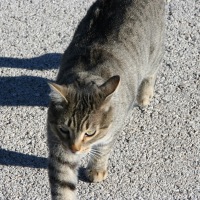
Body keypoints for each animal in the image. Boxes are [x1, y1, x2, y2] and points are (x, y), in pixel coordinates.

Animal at [47, 0, 166, 198]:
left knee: (152, 71)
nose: (74, 149)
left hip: (153, 52)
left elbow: (103, 150)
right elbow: (63, 185)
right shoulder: (59, 148)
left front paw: (96, 169)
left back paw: (144, 95)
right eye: (64, 129)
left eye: (90, 133)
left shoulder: (112, 131)